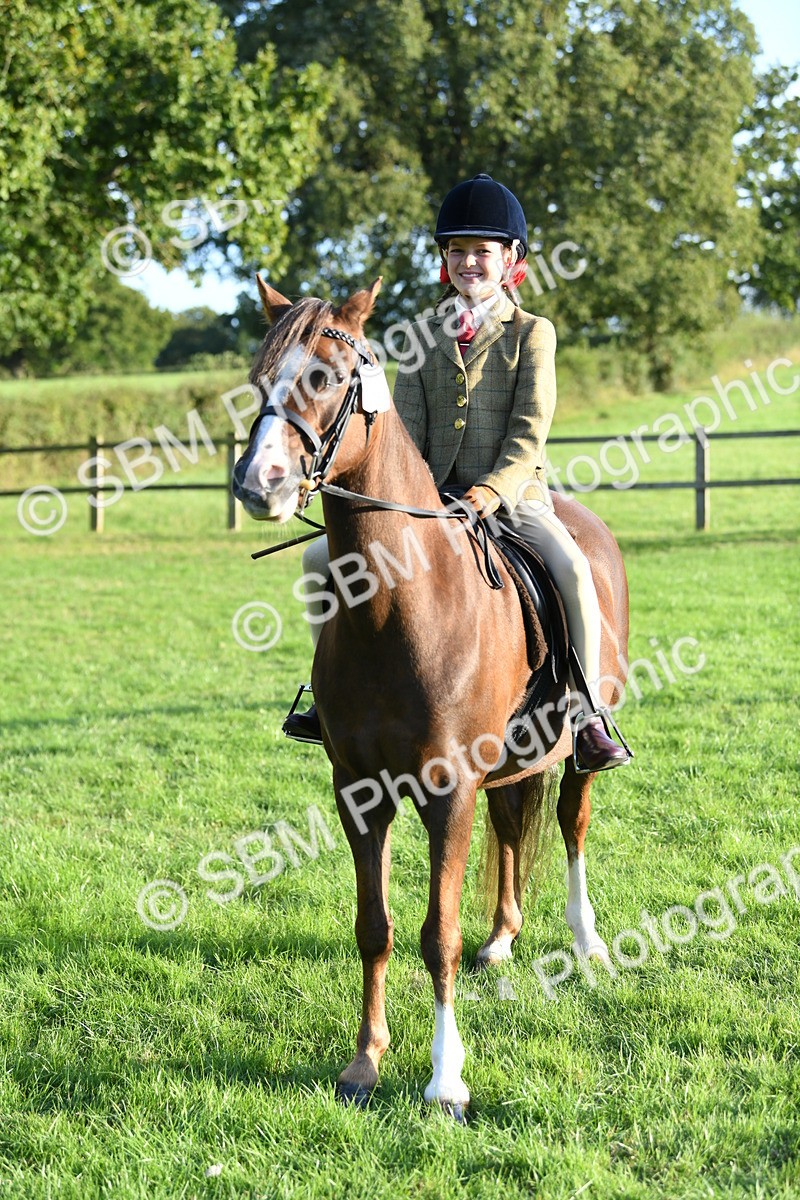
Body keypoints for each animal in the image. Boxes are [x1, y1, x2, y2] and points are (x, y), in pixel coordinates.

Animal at [231, 276, 630, 1118]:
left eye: (324, 377)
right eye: (257, 380)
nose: (259, 483)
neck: (395, 608)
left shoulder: (447, 790)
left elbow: (435, 933)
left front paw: (446, 1081)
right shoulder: (359, 790)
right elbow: (374, 927)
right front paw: (364, 1063)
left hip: (577, 752)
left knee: (572, 827)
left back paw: (587, 945)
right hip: (507, 763)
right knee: (513, 828)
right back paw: (503, 939)